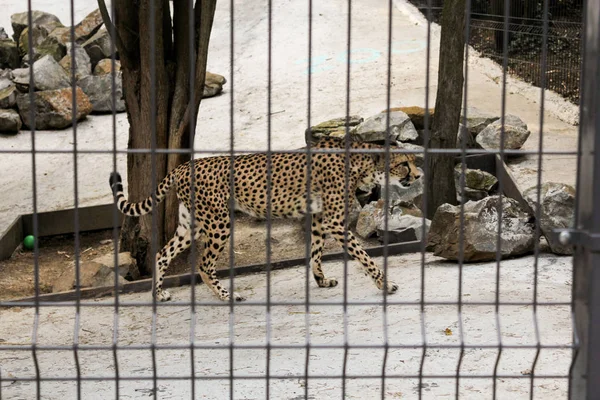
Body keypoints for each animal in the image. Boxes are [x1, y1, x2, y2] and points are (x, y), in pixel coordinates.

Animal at [111, 138, 422, 304]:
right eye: (404, 164)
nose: (419, 175)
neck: (362, 163)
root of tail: (184, 165)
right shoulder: (334, 221)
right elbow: (364, 256)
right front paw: (385, 284)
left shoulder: (319, 218)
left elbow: (315, 252)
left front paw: (320, 280)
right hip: (219, 223)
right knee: (203, 264)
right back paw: (227, 296)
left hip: (192, 224)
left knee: (162, 254)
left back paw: (158, 293)